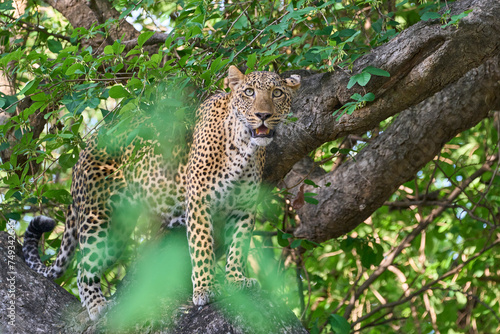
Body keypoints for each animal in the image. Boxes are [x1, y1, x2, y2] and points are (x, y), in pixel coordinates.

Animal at [22, 66, 300, 320]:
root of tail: (85, 146)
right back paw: (97, 306)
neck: (244, 147)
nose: (263, 115)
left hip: (118, 230)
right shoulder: (199, 202)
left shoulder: (244, 207)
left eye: (276, 93)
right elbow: (202, 247)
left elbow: (239, 246)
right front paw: (205, 289)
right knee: (83, 266)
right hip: (97, 216)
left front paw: (236, 279)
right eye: (249, 92)